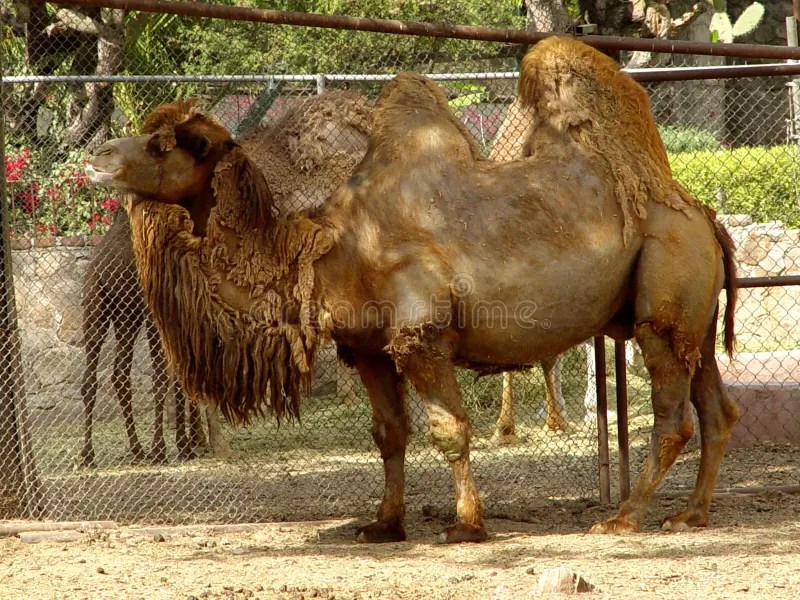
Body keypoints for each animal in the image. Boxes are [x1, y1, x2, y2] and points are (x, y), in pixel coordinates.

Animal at [86, 37, 739, 543]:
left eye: (165, 145)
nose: (97, 155)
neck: (329, 251)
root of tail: (703, 215)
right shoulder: (368, 348)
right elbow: (388, 435)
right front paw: (383, 524)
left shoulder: (421, 336)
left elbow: (449, 431)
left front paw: (467, 525)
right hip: (693, 318)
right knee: (717, 408)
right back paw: (690, 515)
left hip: (664, 298)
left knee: (674, 418)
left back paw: (624, 518)